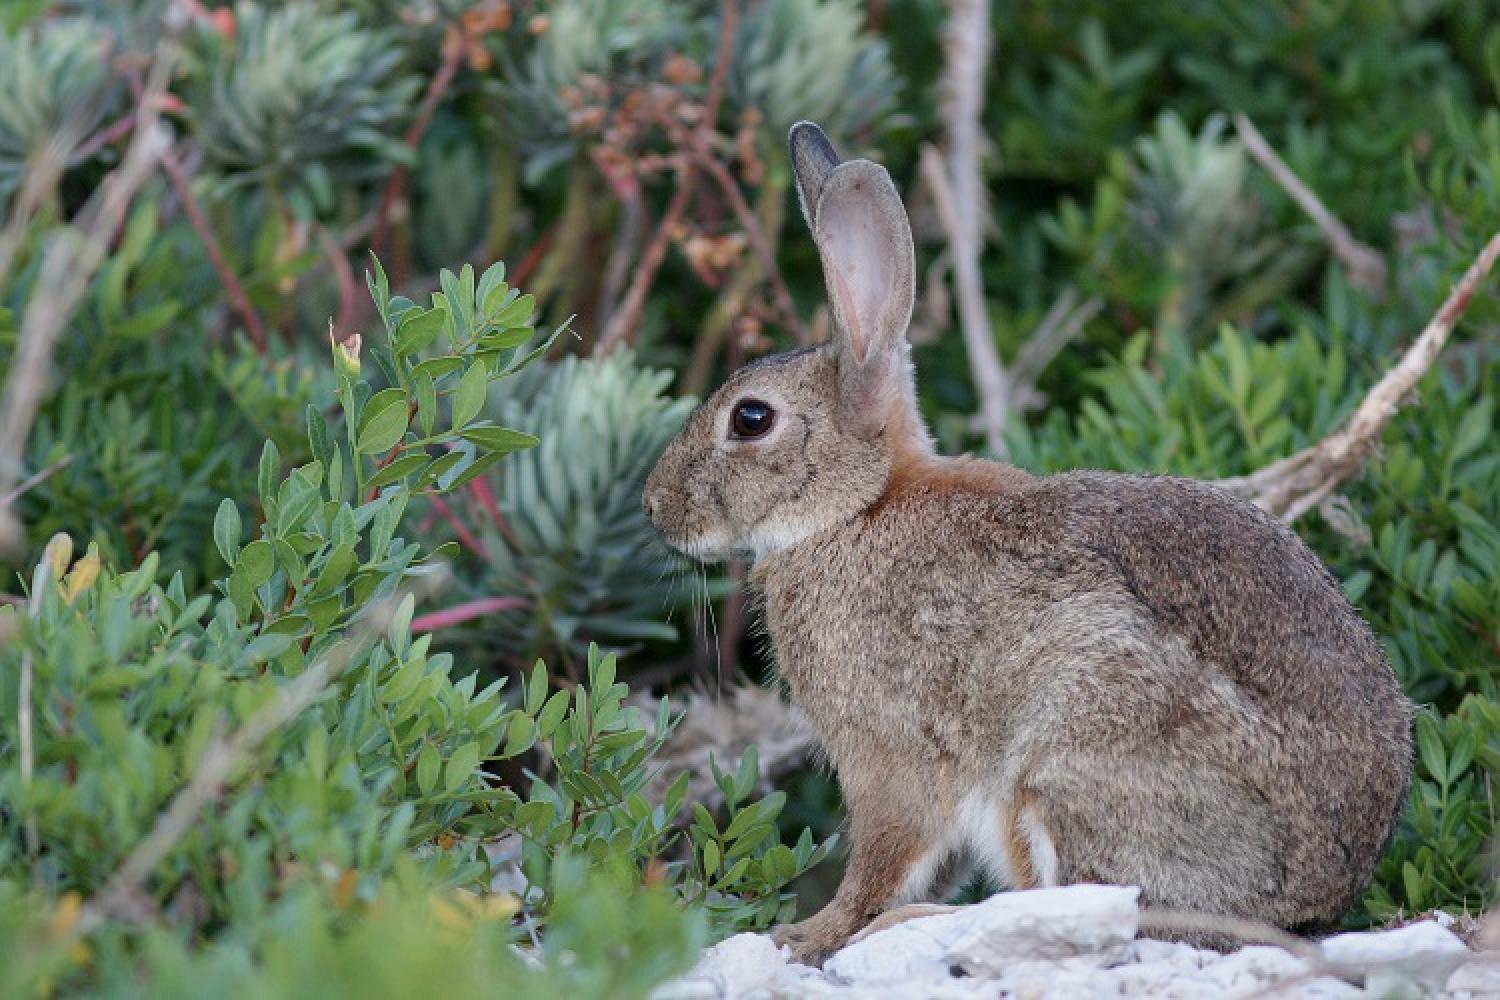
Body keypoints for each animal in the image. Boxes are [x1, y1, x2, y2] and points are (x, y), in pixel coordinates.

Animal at [639, 121, 1410, 965]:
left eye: (750, 419)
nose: (654, 507)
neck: (857, 508)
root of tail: (1313, 897)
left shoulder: (887, 754)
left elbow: (880, 858)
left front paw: (806, 936)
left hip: (1063, 760)